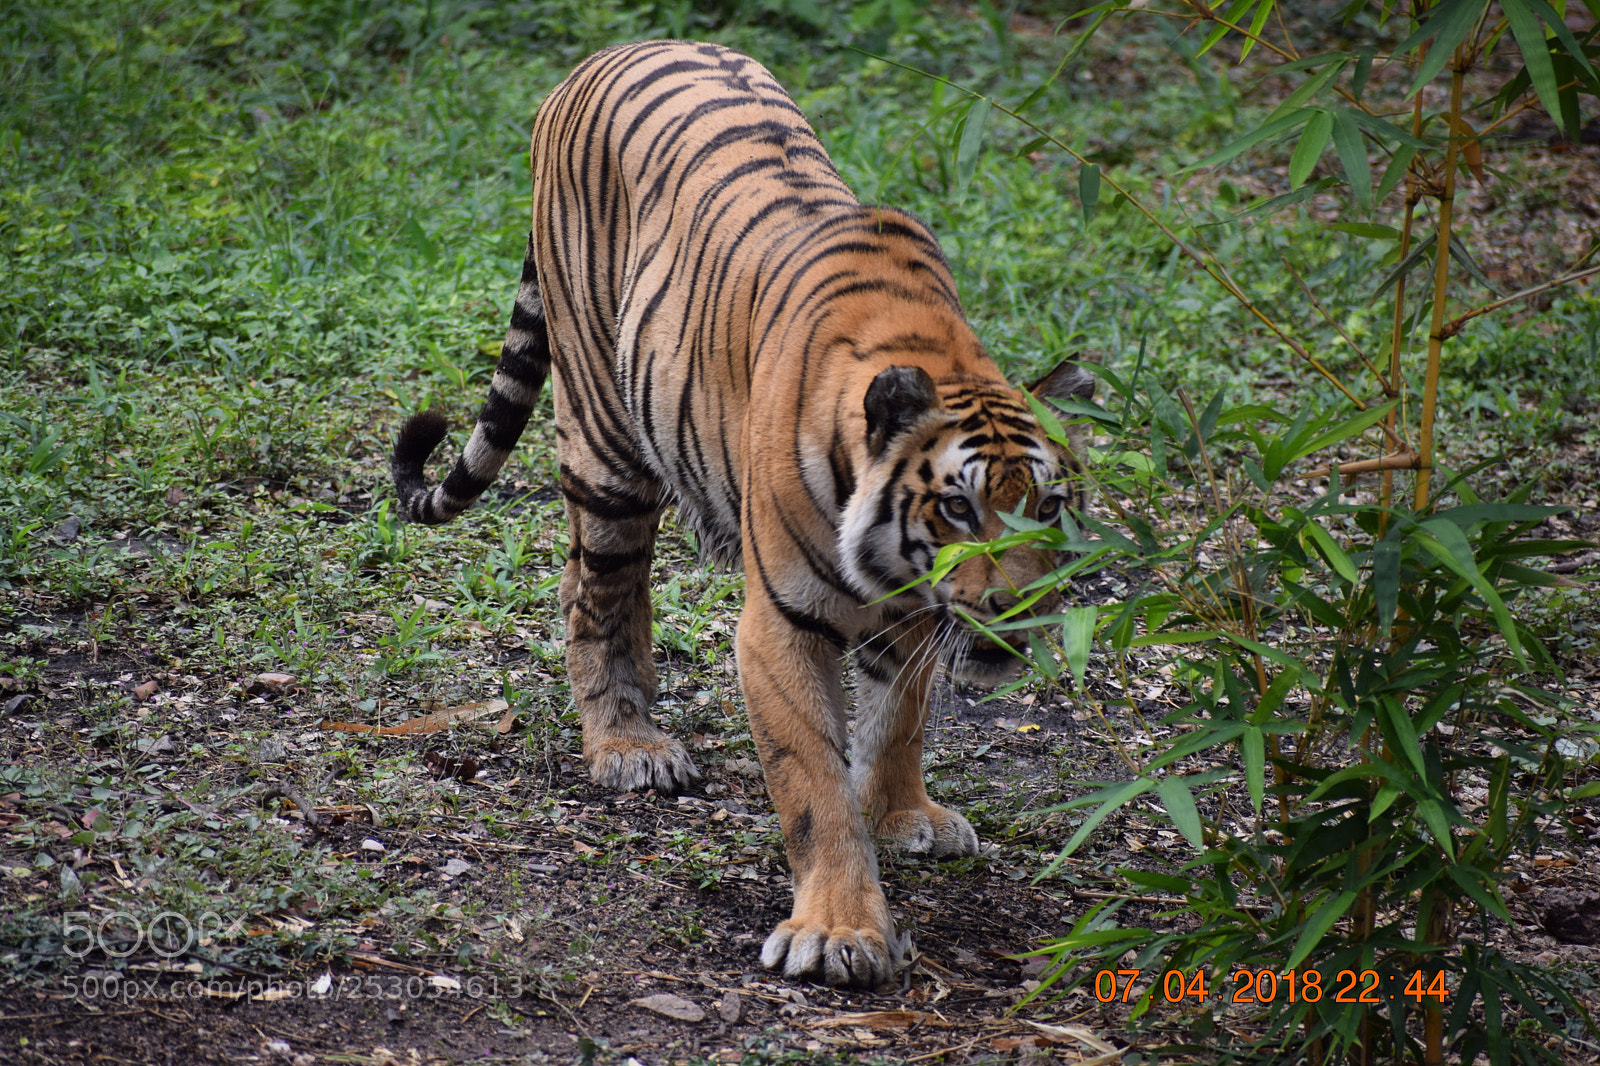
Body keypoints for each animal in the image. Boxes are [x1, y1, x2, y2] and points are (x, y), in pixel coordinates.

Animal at [390, 40, 1094, 987]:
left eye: (1048, 508)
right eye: (958, 506)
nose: (1017, 612)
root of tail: (597, 58)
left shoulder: (914, 615)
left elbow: (898, 723)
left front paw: (904, 816)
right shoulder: (782, 624)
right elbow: (813, 786)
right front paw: (839, 930)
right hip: (605, 445)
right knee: (590, 590)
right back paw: (627, 745)